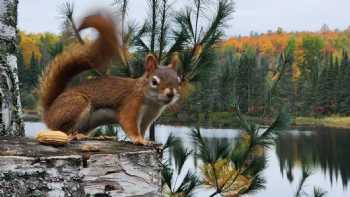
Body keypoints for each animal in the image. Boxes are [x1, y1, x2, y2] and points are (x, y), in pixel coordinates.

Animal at [38, 11, 180, 145]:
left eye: (179, 80)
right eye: (154, 82)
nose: (171, 94)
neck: (152, 103)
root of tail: (49, 112)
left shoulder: (148, 119)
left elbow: (143, 129)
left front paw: (148, 140)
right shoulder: (130, 105)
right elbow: (130, 125)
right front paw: (139, 139)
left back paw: (82, 135)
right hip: (76, 104)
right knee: (63, 130)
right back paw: (75, 136)